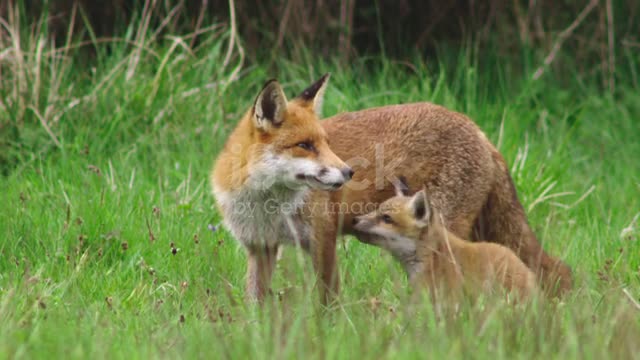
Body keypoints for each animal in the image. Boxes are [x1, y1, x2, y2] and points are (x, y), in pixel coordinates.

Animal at [209, 74, 568, 302]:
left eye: (325, 143)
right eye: (305, 146)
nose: (348, 172)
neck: (266, 205)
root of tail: (481, 133)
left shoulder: (322, 240)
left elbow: (326, 303)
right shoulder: (260, 247)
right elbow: (256, 304)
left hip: (443, 230)